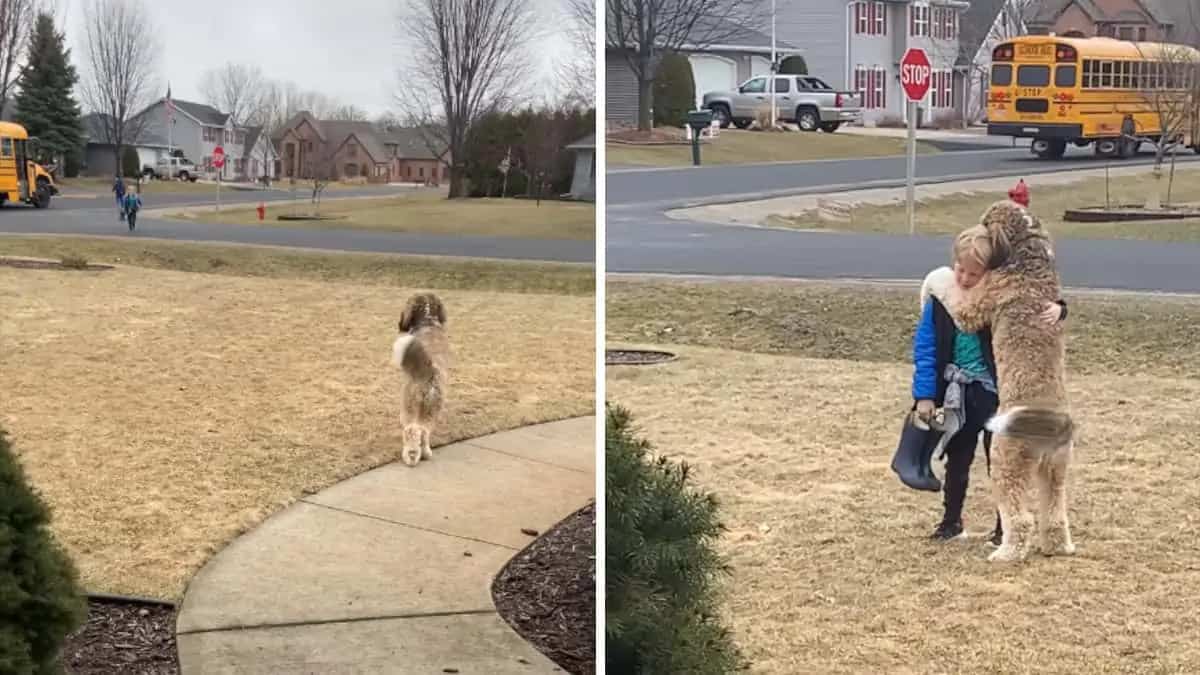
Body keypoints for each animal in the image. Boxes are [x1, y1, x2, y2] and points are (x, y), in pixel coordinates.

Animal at [391, 291, 448, 466]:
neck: (427, 321)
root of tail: (429, 372)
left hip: (410, 407)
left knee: (413, 431)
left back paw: (411, 456)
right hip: (430, 409)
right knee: (423, 432)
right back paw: (424, 454)